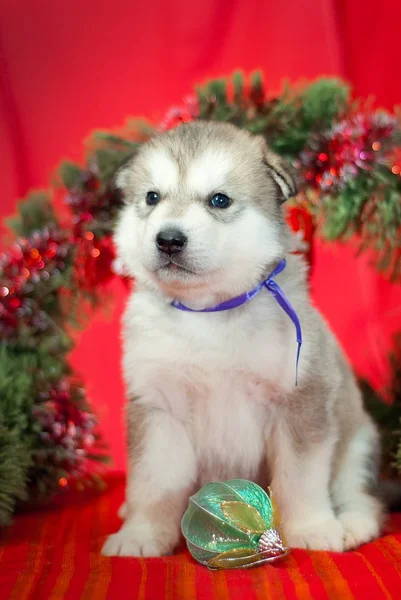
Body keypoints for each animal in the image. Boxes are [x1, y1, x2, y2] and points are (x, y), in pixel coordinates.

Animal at [101, 122, 382, 556]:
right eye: (152, 197)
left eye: (219, 200)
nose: (169, 239)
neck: (208, 314)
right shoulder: (158, 406)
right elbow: (152, 483)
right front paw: (141, 535)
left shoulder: (300, 399)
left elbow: (300, 477)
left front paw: (312, 528)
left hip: (357, 441)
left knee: (359, 493)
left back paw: (352, 523)